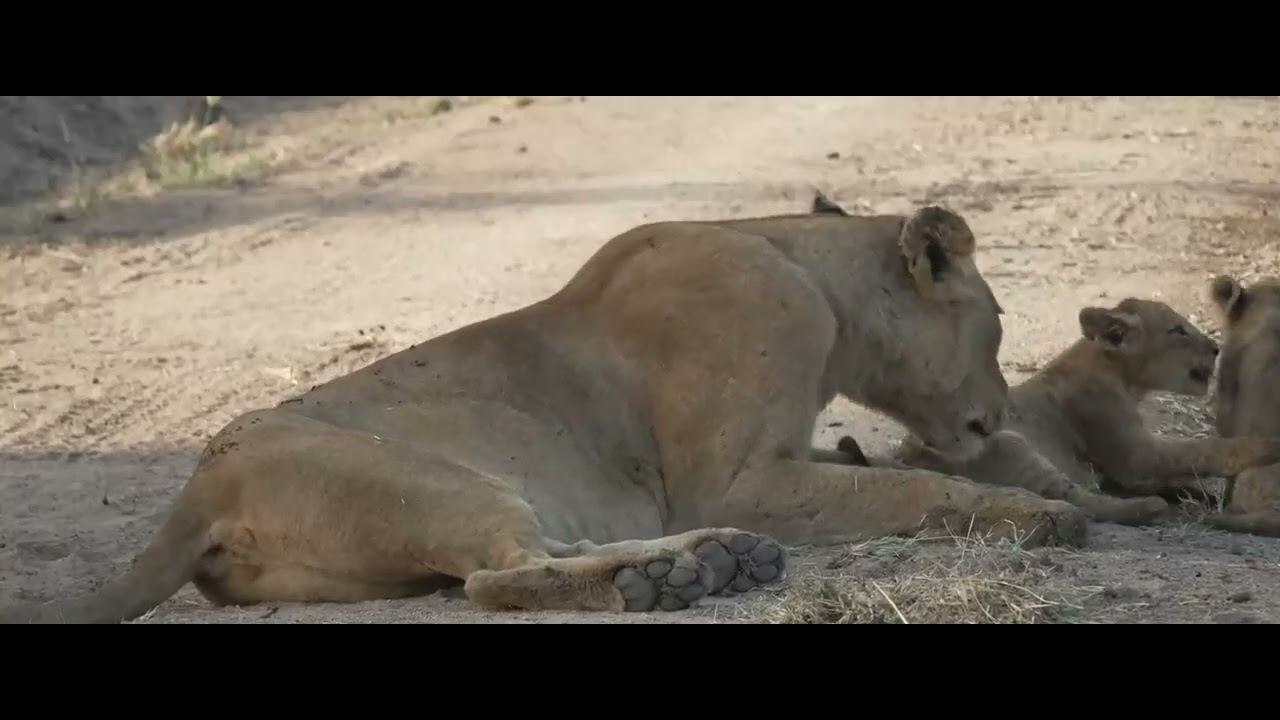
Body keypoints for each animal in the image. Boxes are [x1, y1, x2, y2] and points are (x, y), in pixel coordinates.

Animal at [4, 198, 1120, 624]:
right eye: (998, 320)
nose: (992, 415)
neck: (812, 277)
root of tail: (193, 492)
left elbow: (879, 471)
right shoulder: (735, 479)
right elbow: (902, 490)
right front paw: (1033, 513)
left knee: (511, 567)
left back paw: (699, 569)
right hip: (437, 479)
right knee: (497, 577)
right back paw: (686, 574)